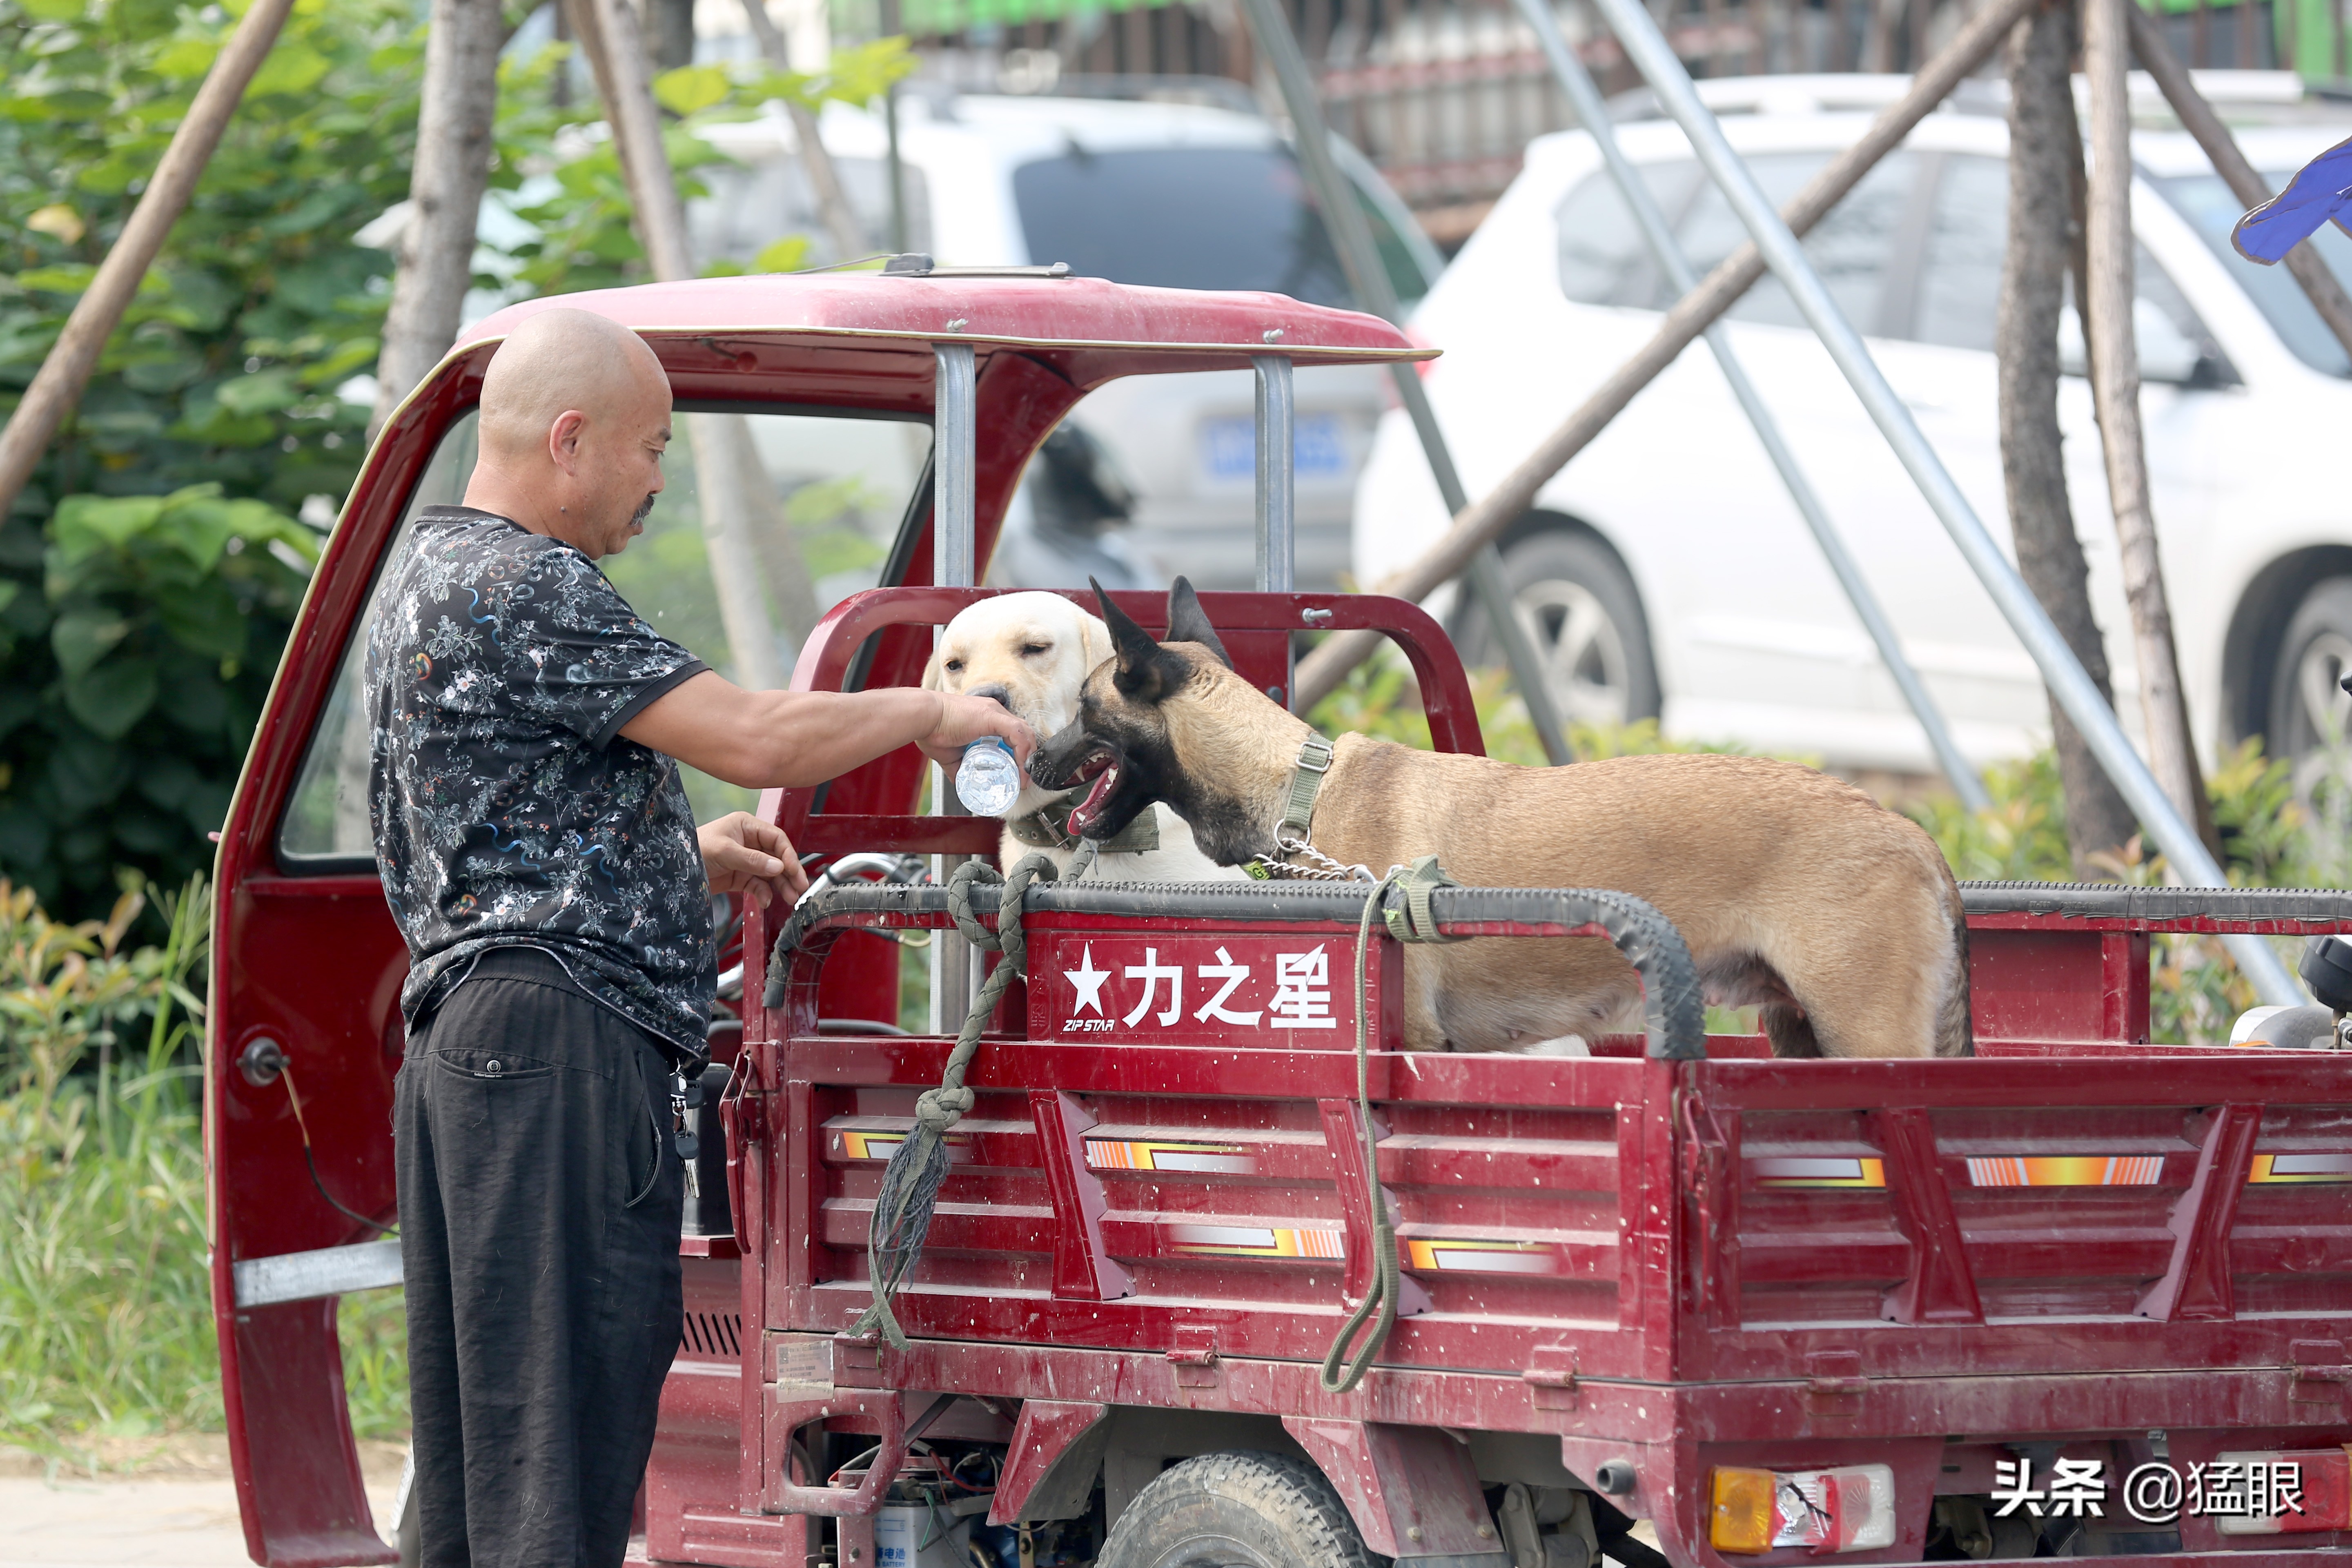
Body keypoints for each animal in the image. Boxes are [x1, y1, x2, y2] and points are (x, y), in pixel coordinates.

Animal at [1039, 583, 1976, 1062]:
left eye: (1085, 706)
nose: (1032, 757)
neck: (1295, 786)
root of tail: (1913, 835)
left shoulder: (1413, 1042)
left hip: (1868, 1040)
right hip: (1803, 1036)